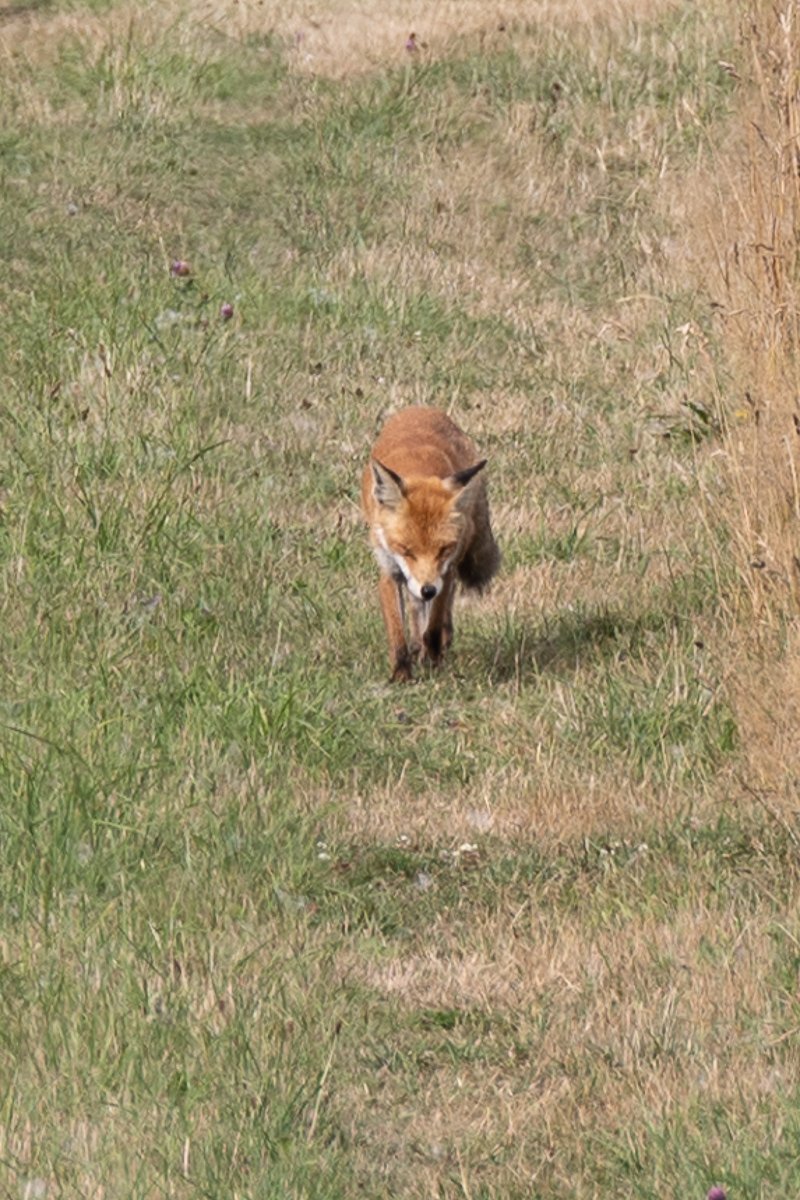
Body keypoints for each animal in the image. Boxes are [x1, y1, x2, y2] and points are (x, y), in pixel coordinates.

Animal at [362, 405, 501, 681]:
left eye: (443, 549)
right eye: (406, 550)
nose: (428, 590)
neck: (418, 467)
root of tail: (420, 409)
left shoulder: (446, 571)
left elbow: (435, 625)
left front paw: (433, 661)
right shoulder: (389, 569)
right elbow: (397, 630)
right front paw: (401, 674)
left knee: (440, 614)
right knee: (417, 610)